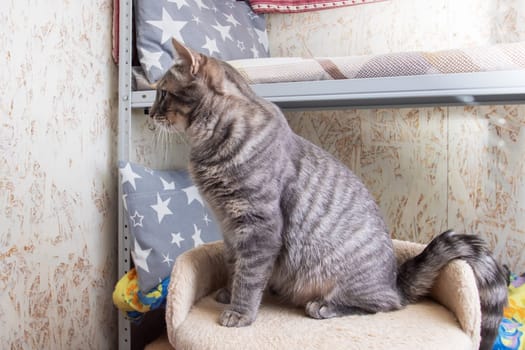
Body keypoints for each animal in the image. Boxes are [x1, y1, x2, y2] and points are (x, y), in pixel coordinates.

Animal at [150, 39, 508, 350]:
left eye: (163, 93)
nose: (149, 114)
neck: (210, 147)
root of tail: (394, 279)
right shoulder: (230, 228)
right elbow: (235, 265)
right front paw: (227, 291)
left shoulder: (259, 227)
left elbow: (249, 276)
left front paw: (240, 312)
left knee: (386, 304)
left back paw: (324, 306)